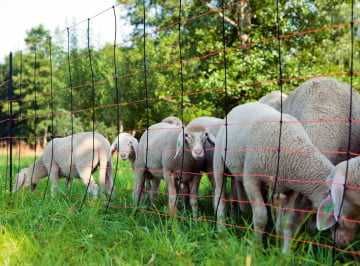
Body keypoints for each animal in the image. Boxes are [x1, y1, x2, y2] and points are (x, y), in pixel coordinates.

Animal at [212, 103, 344, 251]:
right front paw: (257, 248)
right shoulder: (251, 179)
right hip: (219, 160)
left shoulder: (291, 190)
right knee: (220, 196)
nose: (341, 243)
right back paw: (222, 232)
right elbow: (261, 216)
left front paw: (284, 252)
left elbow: (288, 222)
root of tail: (240, 106)